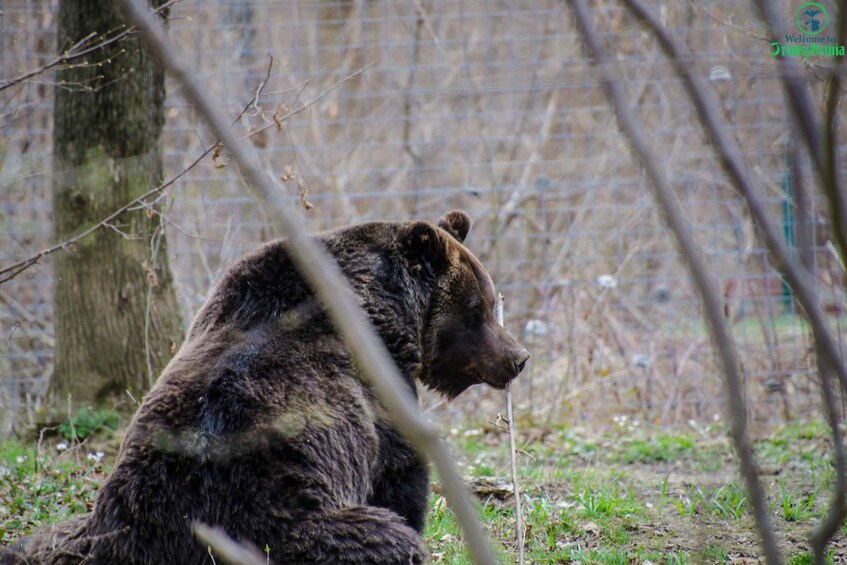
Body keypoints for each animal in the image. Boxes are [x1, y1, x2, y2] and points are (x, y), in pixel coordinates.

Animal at [3, 212, 528, 564]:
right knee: (374, 538)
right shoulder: (375, 388)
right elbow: (399, 473)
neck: (386, 310)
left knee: (39, 543)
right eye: (479, 307)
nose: (518, 357)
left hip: (93, 527)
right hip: (276, 522)